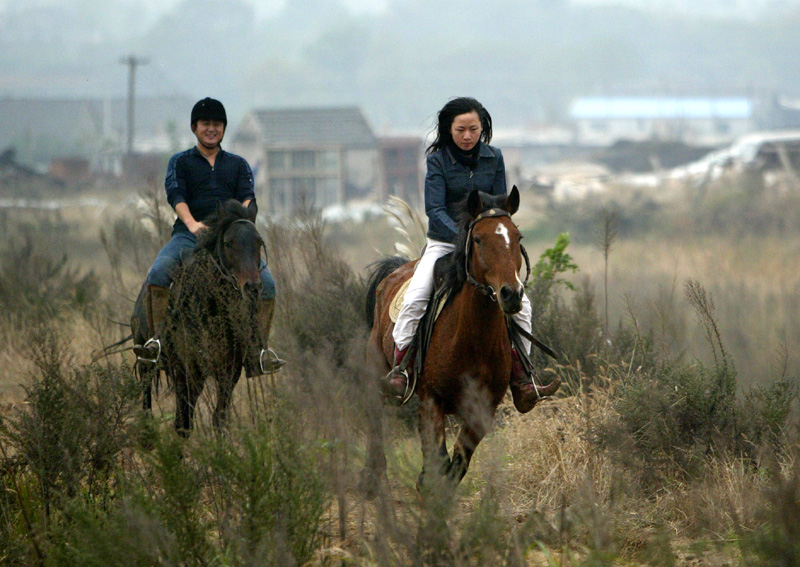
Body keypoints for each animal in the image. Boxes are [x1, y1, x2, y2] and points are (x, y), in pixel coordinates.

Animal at [132, 202, 266, 438]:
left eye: (258, 242)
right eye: (227, 243)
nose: (252, 287)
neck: (211, 306)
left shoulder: (229, 371)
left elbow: (219, 418)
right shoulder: (186, 369)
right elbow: (183, 423)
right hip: (146, 361)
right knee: (147, 399)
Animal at [366, 186, 560, 492]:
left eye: (518, 237)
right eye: (478, 239)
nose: (511, 294)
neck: (474, 340)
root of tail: (394, 272)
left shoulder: (482, 411)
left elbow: (455, 466)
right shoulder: (432, 401)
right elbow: (437, 462)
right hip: (376, 371)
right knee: (374, 419)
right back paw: (375, 481)